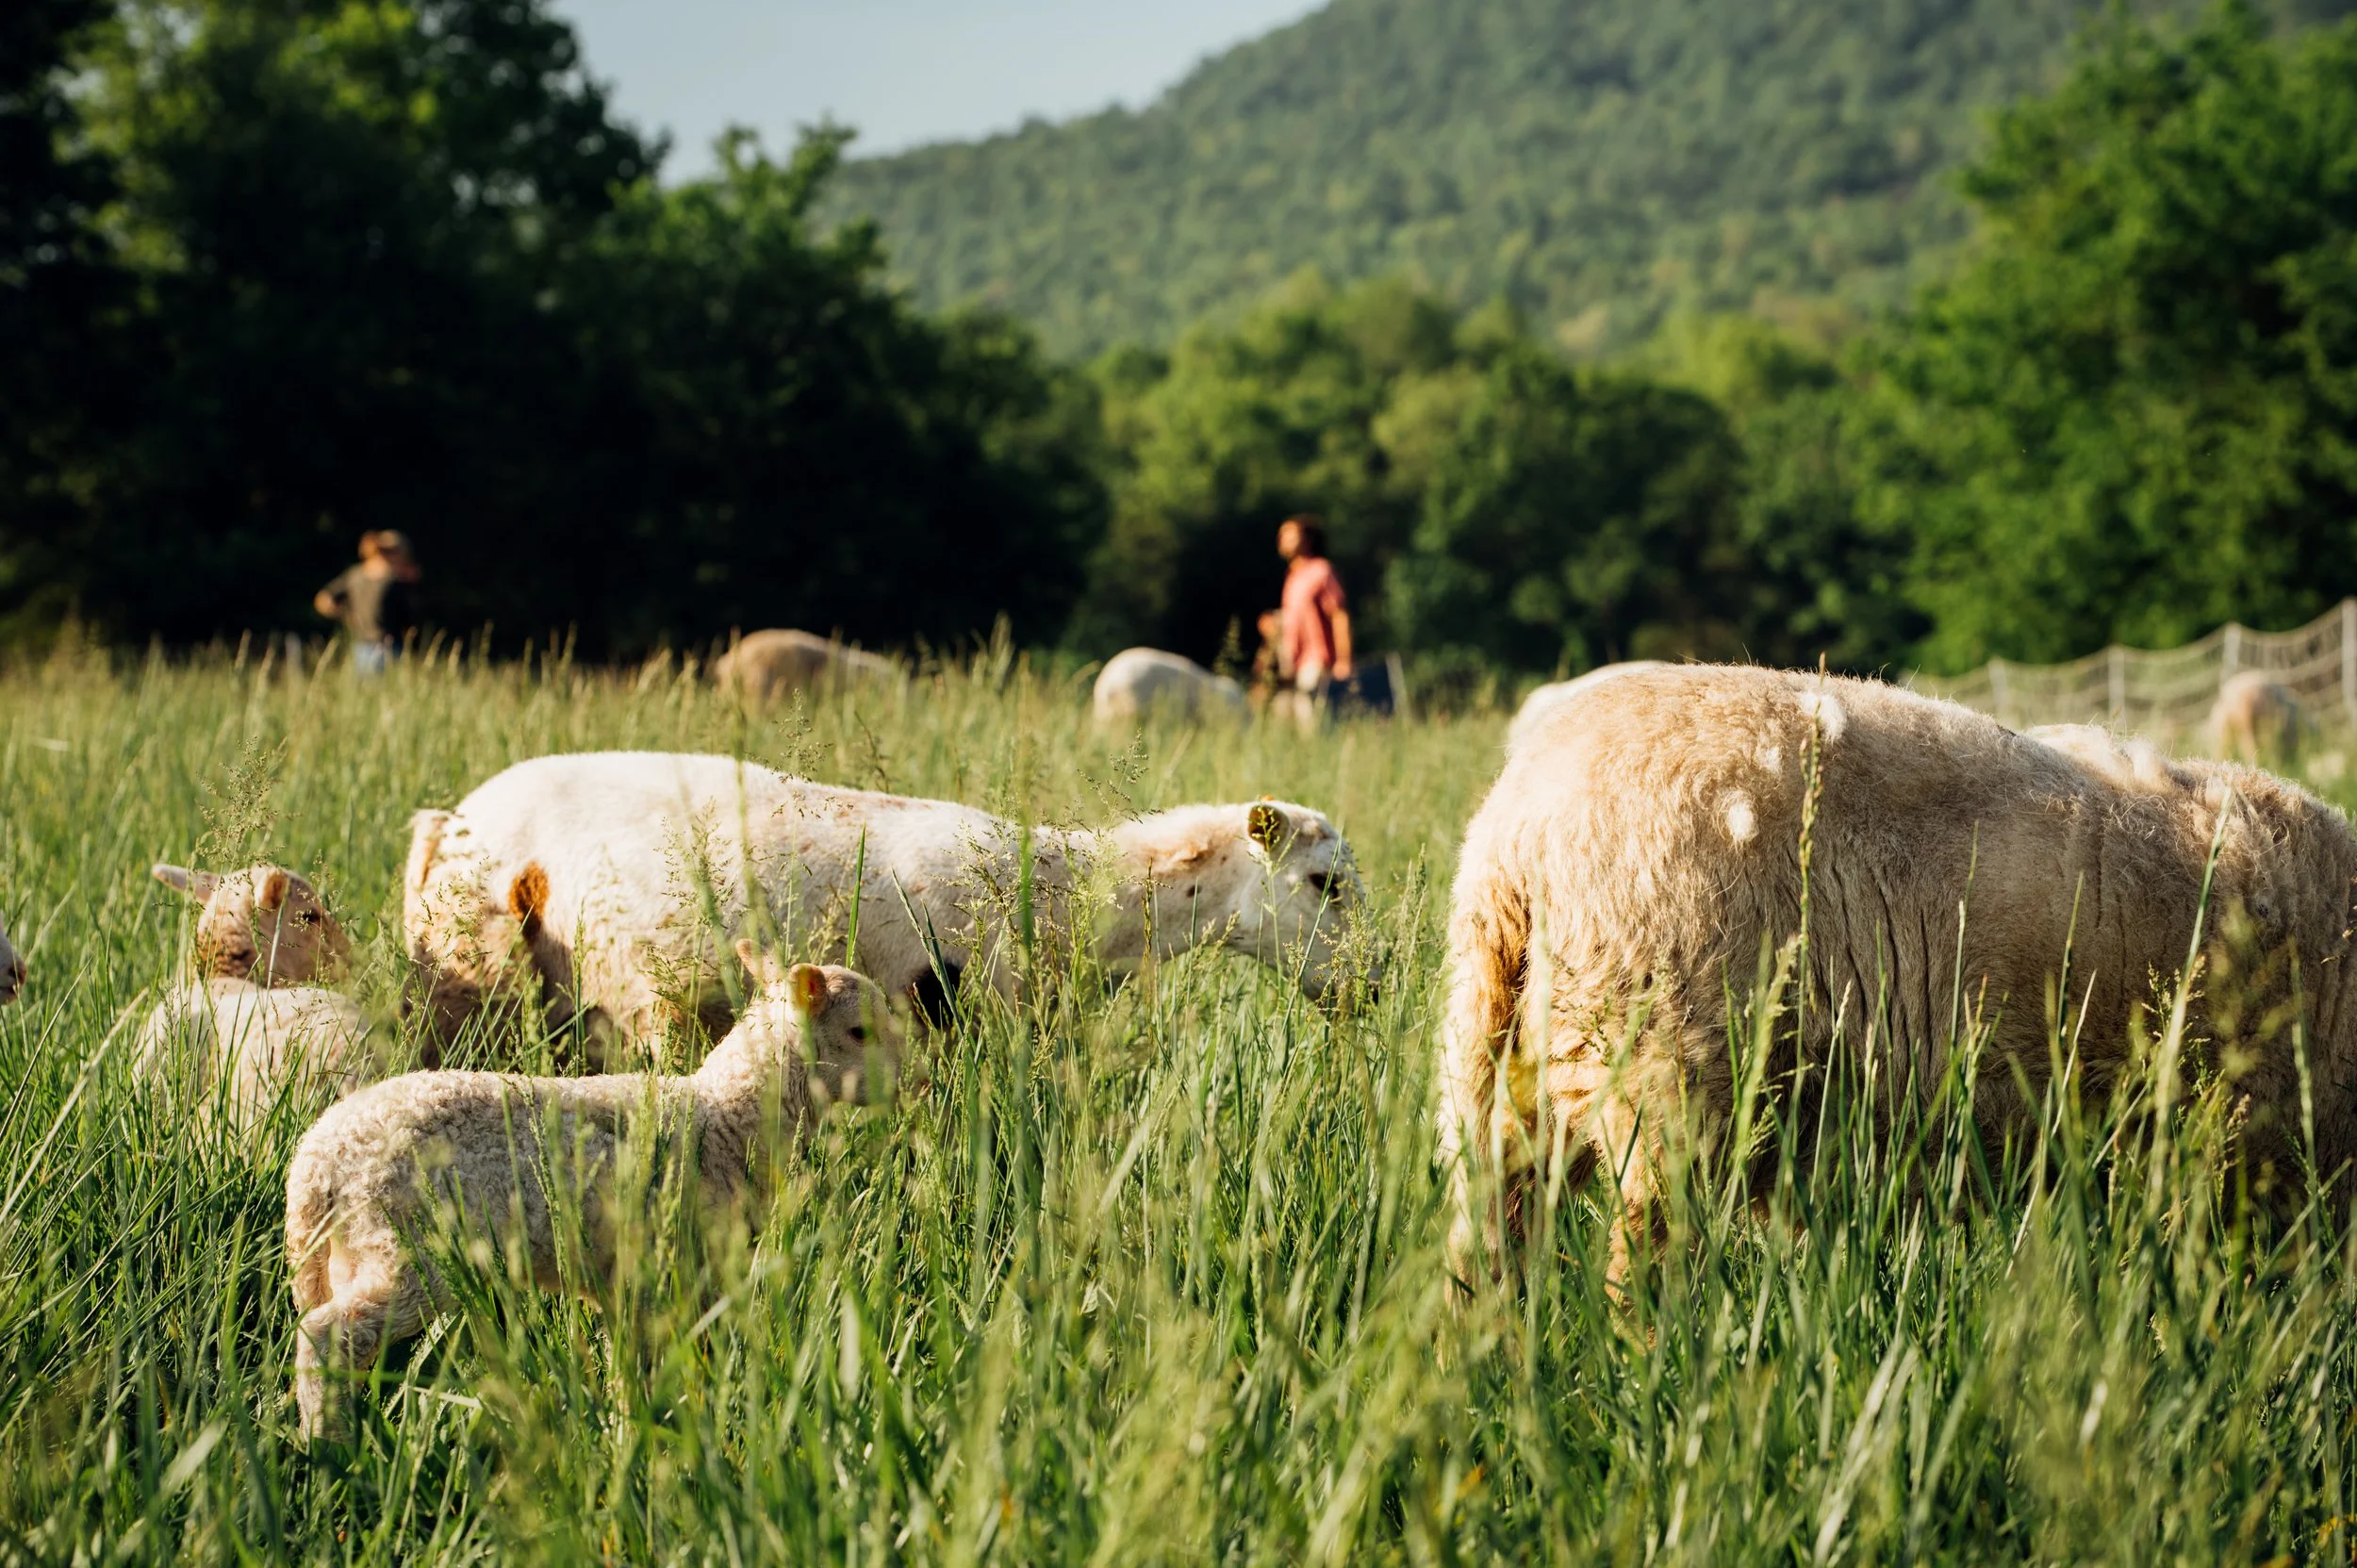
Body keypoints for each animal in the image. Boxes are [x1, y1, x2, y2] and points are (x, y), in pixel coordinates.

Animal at [286, 948, 898, 1441]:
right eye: (859, 1031)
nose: (907, 1082)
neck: (725, 1117)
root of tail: (315, 1162)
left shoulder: (626, 1278)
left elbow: (627, 1361)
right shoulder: (666, 1268)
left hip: (345, 1255)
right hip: (409, 1250)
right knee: (326, 1336)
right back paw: (329, 1447)